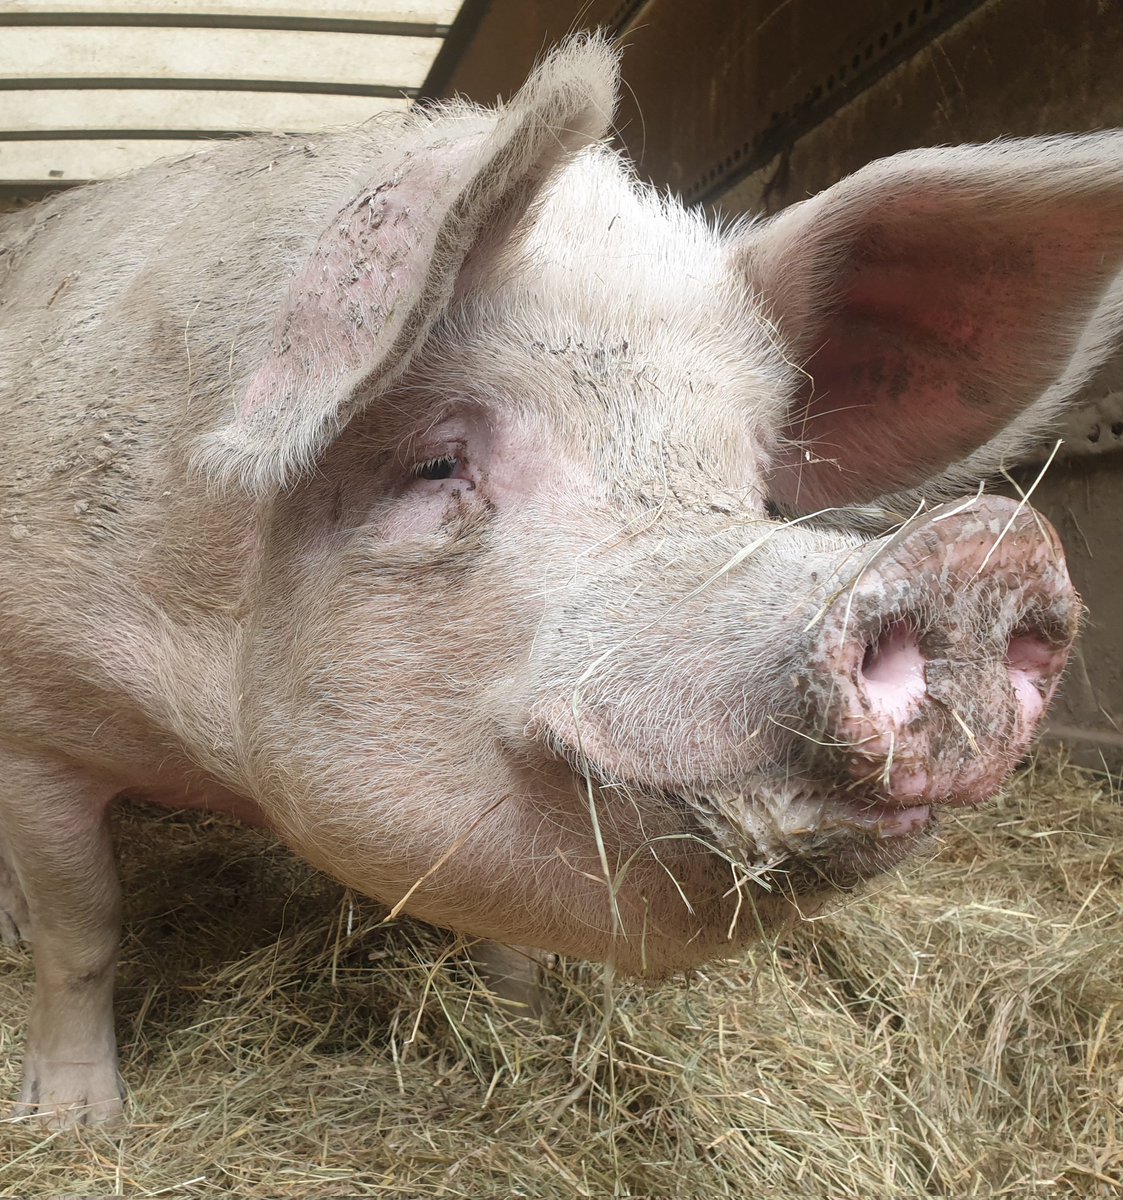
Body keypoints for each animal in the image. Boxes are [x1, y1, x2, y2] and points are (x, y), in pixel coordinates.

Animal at [1, 34, 1121, 1127]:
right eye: (435, 463)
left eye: (754, 487)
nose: (987, 553)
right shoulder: (37, 713)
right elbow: (84, 929)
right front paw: (77, 1124)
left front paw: (527, 1031)